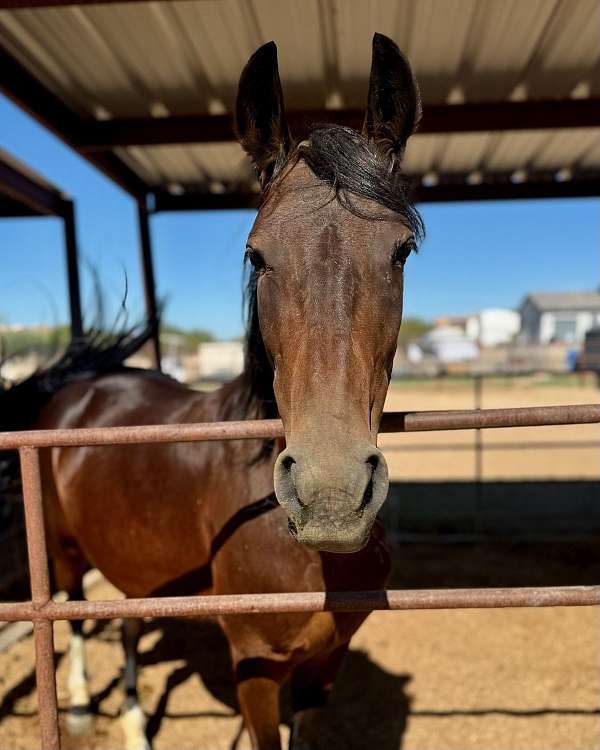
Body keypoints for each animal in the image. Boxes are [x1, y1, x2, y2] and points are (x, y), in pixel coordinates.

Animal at [2, 33, 423, 750]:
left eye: (401, 252)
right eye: (256, 255)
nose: (332, 497)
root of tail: (86, 387)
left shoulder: (325, 666)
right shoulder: (255, 667)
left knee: (129, 618)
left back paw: (136, 724)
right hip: (61, 547)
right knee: (74, 610)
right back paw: (83, 710)